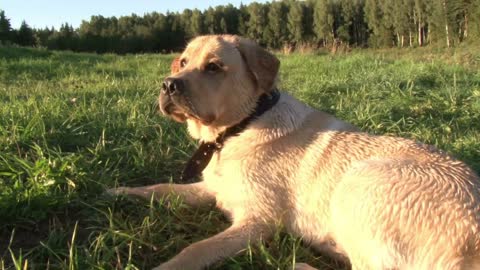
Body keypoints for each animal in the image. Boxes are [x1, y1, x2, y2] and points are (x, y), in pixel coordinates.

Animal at [108, 35, 480, 270]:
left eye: (213, 67)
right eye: (183, 62)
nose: (168, 84)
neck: (238, 128)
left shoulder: (258, 221)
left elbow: (195, 249)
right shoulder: (213, 189)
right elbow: (161, 189)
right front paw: (119, 192)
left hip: (359, 182)